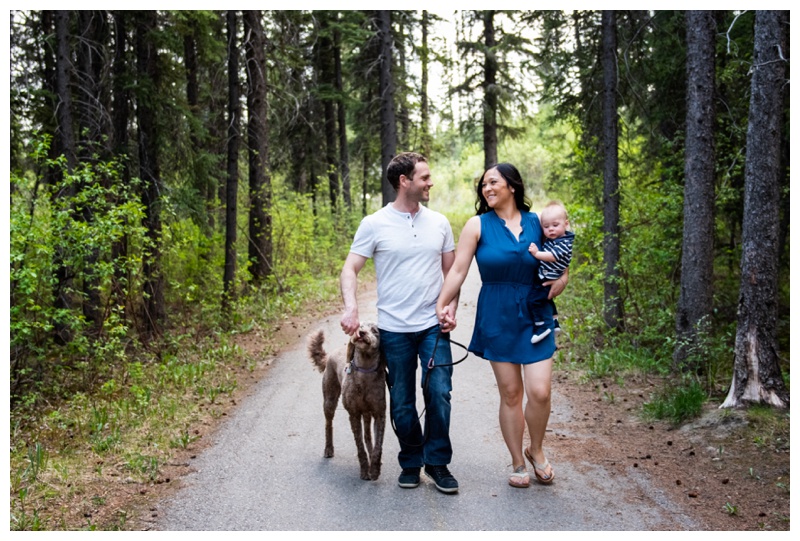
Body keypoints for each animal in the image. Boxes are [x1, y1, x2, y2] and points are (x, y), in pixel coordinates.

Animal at [308, 322, 386, 478]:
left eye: (375, 331)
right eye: (359, 327)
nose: (361, 333)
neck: (365, 370)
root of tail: (330, 354)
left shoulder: (379, 414)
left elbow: (378, 445)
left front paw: (374, 469)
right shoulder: (354, 414)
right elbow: (359, 446)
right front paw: (365, 470)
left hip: (366, 413)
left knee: (368, 436)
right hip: (329, 400)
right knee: (328, 424)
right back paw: (328, 449)